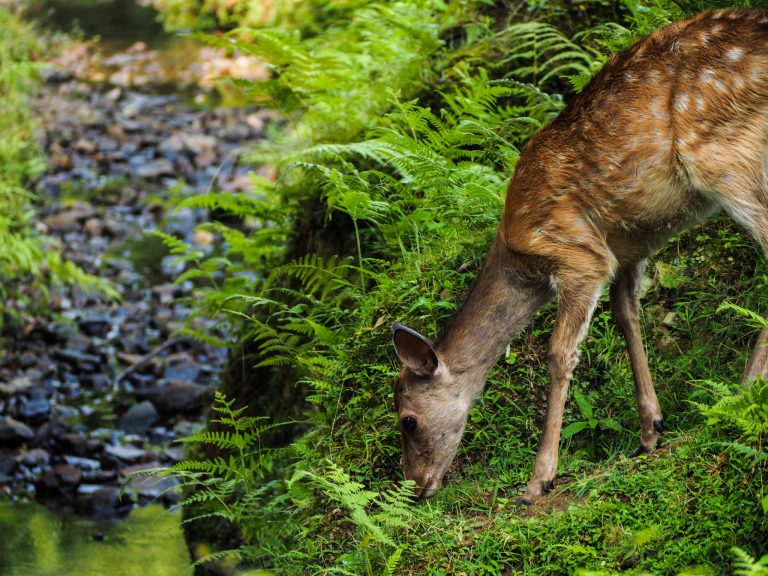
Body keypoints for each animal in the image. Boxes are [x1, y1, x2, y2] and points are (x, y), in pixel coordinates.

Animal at [392, 7, 768, 504]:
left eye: (407, 420)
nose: (415, 485)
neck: (518, 258)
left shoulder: (577, 255)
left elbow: (560, 354)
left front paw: (538, 480)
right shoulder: (627, 249)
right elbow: (628, 316)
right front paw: (651, 430)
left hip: (726, 156)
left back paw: (744, 391)